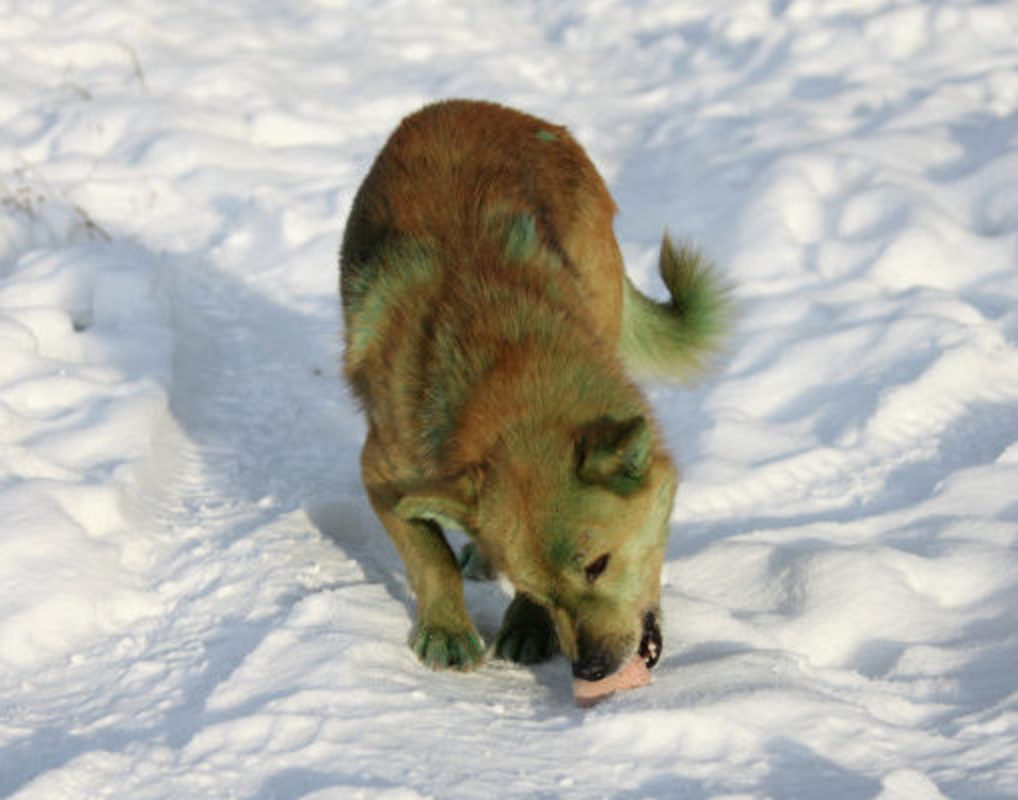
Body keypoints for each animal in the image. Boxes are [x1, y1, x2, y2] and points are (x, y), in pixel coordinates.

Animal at [342, 98, 732, 679]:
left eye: (597, 565)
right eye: (545, 591)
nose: (590, 670)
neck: (505, 363)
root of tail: (476, 105)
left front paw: (525, 625)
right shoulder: (383, 472)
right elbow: (431, 557)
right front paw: (448, 629)